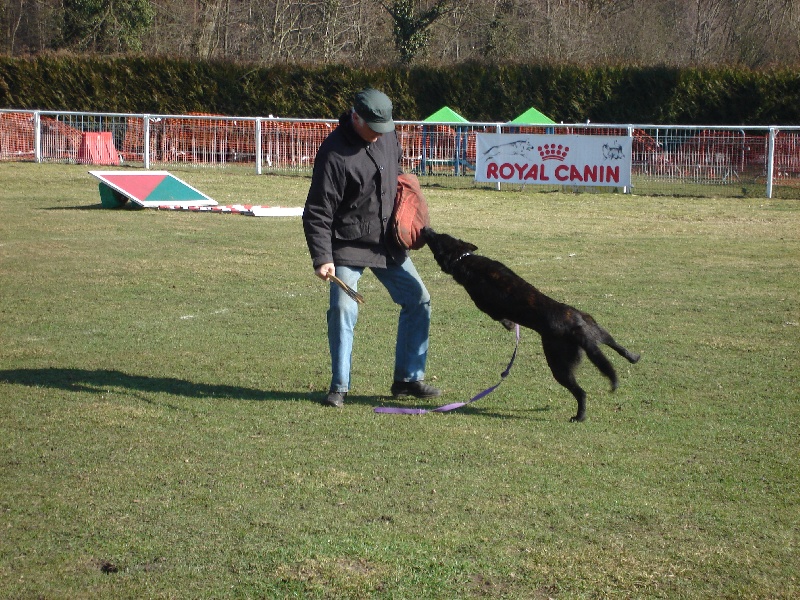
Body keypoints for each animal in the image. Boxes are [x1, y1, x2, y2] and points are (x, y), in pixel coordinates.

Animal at [422, 226, 640, 422]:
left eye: (437, 239)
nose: (426, 228)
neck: (465, 258)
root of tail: (576, 327)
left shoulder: (488, 307)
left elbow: (502, 318)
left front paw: (510, 325)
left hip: (558, 365)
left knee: (581, 392)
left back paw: (579, 416)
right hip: (596, 330)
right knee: (616, 346)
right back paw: (633, 357)